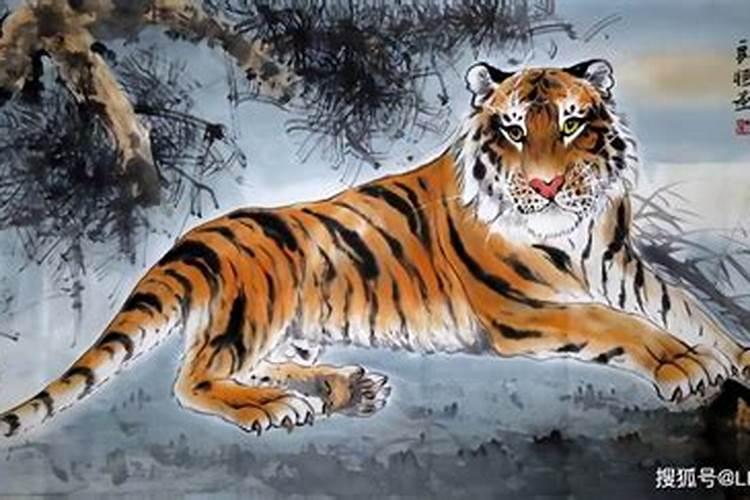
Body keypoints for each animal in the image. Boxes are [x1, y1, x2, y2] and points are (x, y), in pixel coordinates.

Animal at [2, 58, 749, 440]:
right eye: (512, 128)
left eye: (571, 124)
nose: (546, 183)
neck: (573, 228)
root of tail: (193, 235)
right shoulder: (527, 310)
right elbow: (617, 324)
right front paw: (687, 366)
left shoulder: (621, 263)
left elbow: (688, 310)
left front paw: (731, 354)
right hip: (257, 304)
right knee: (194, 378)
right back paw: (278, 407)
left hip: (286, 329)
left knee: (255, 363)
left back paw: (343, 387)